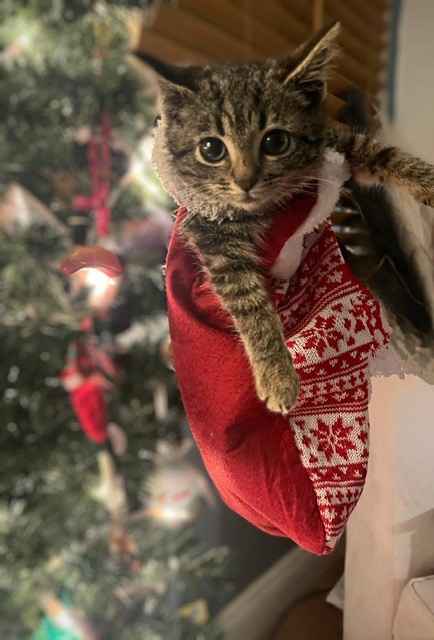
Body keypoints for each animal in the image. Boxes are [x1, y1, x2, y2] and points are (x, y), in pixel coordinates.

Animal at [137, 22, 434, 416]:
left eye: (275, 141)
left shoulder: (334, 144)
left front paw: (427, 180)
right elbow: (249, 301)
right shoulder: (213, 239)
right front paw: (276, 374)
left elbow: (381, 152)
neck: (267, 208)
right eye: (211, 149)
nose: (246, 181)